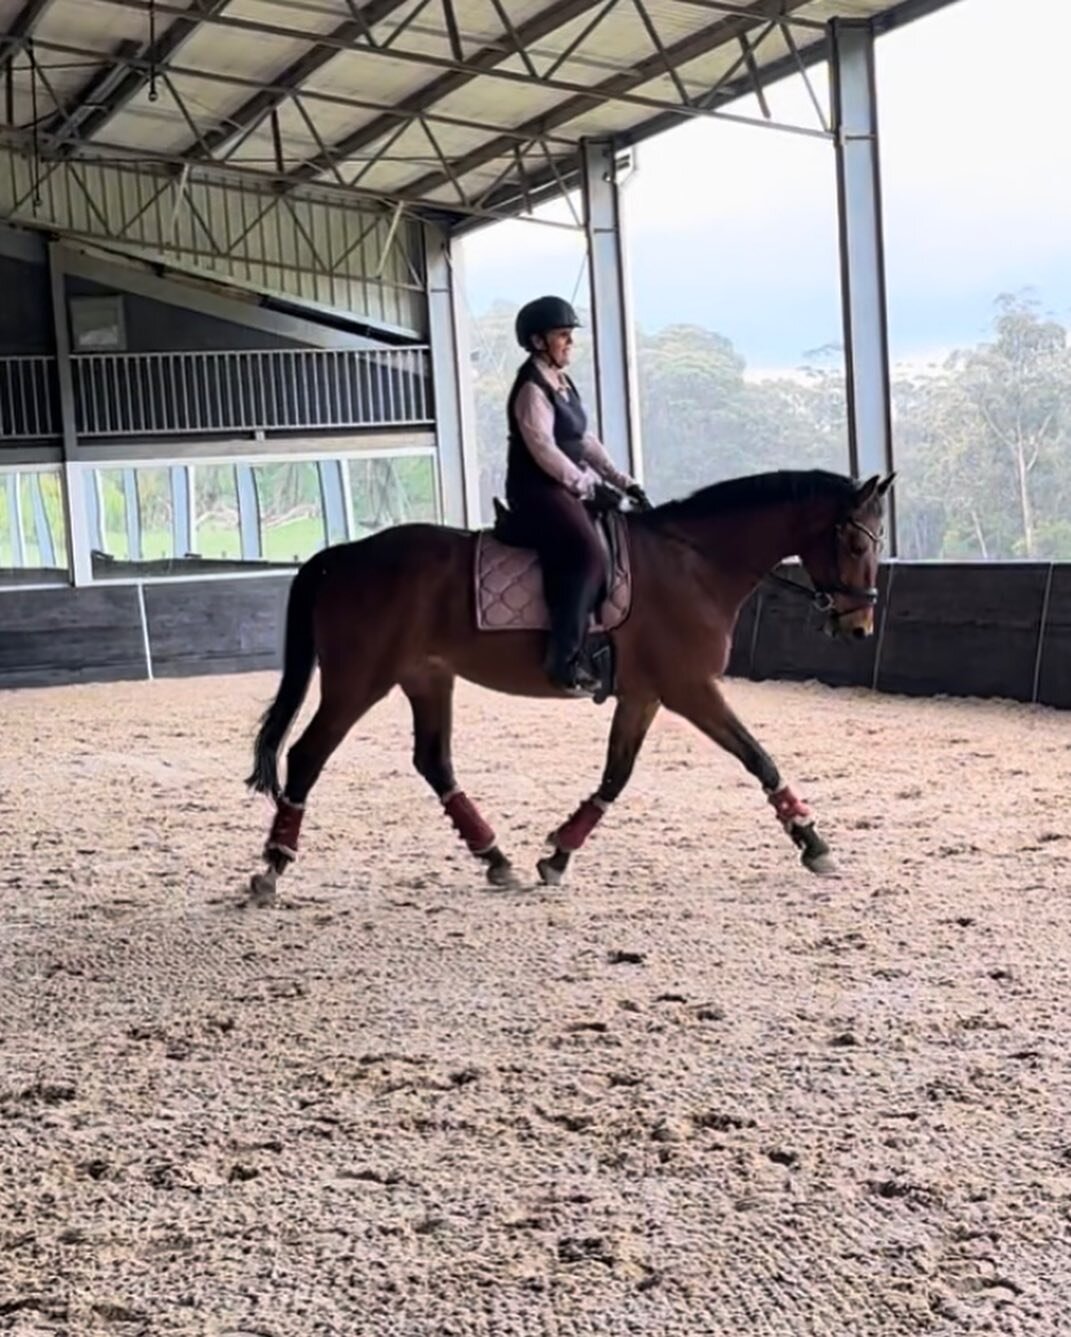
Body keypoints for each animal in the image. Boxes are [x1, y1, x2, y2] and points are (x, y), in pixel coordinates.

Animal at [246, 467, 887, 898]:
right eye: (857, 542)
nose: (860, 625)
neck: (694, 562)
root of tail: (344, 555)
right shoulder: (690, 688)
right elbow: (758, 758)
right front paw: (813, 842)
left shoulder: (644, 695)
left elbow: (616, 775)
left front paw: (558, 855)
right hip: (359, 679)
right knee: (307, 755)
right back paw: (273, 863)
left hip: (426, 677)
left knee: (433, 762)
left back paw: (495, 857)